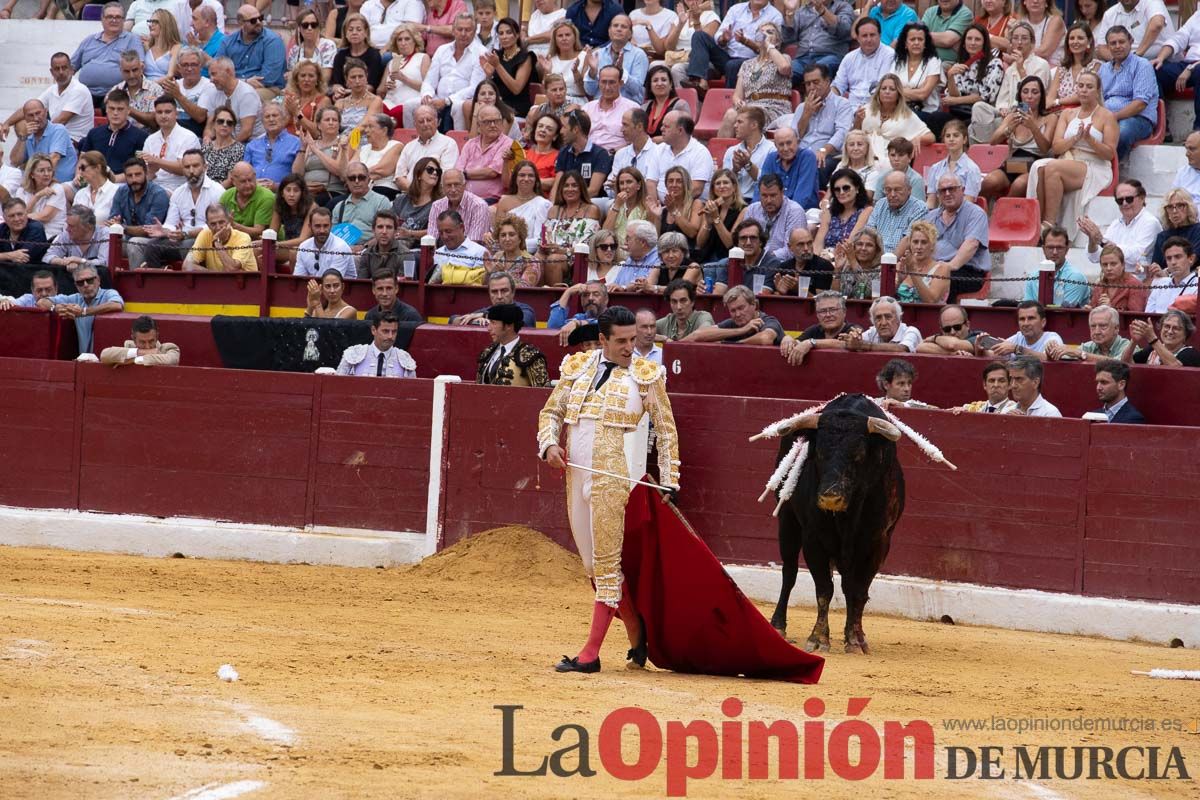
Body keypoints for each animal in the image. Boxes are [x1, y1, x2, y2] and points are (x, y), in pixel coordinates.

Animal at [768, 393, 902, 657]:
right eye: (818, 453)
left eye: (859, 455)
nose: (830, 497)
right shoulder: (813, 539)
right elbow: (824, 589)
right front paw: (819, 639)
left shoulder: (878, 543)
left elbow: (858, 591)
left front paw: (856, 639)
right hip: (787, 520)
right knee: (789, 573)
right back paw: (778, 625)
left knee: (849, 587)